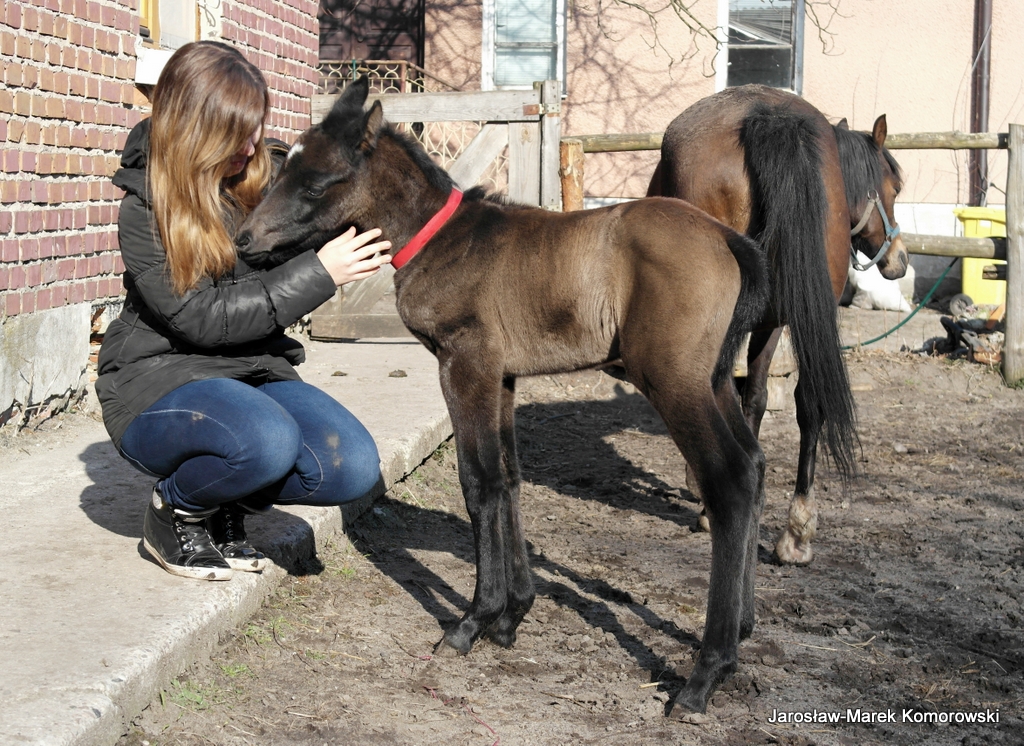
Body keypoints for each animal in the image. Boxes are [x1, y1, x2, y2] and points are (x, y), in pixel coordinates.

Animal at [236, 77, 771, 716]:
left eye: (316, 183)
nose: (245, 241)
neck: (442, 241)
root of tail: (729, 239)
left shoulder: (464, 364)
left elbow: (479, 482)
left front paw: (473, 621)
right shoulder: (505, 377)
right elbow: (509, 478)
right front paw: (513, 615)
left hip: (674, 380)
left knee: (730, 478)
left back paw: (705, 674)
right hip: (712, 378)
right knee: (756, 465)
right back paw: (742, 630)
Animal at [646, 84, 907, 565]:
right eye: (895, 186)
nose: (899, 260)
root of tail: (769, 119)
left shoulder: (768, 322)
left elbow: (754, 398)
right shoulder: (782, 319)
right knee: (806, 400)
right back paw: (795, 527)